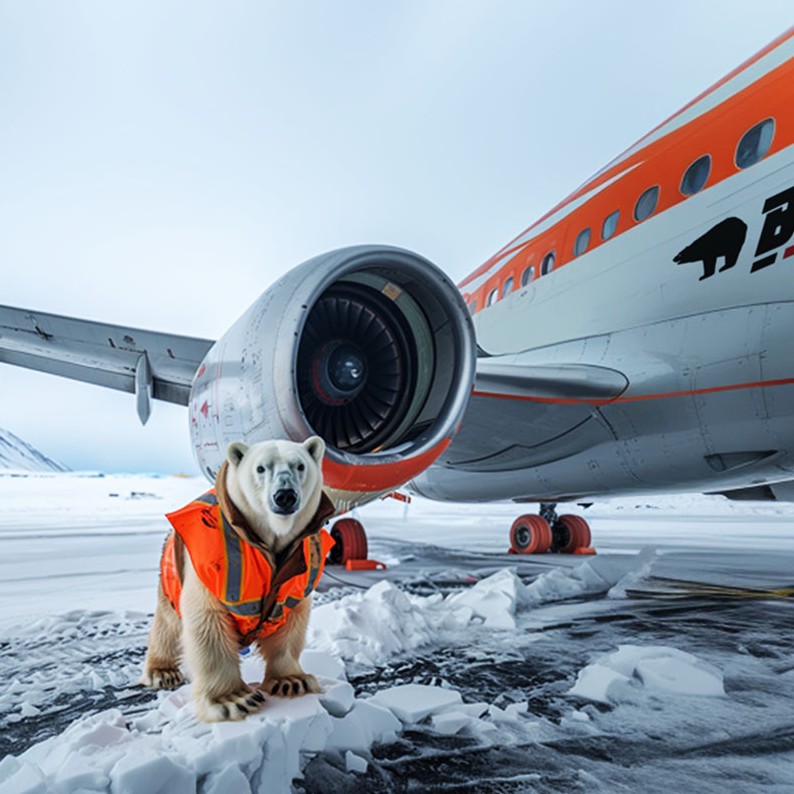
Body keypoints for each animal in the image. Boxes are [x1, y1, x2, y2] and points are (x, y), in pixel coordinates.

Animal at [141, 436, 332, 720]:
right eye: (261, 468)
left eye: (300, 466)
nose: (284, 496)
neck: (267, 542)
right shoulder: (214, 565)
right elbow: (207, 622)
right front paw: (233, 699)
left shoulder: (299, 572)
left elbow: (292, 622)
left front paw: (292, 681)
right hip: (171, 574)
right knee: (167, 622)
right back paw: (161, 672)